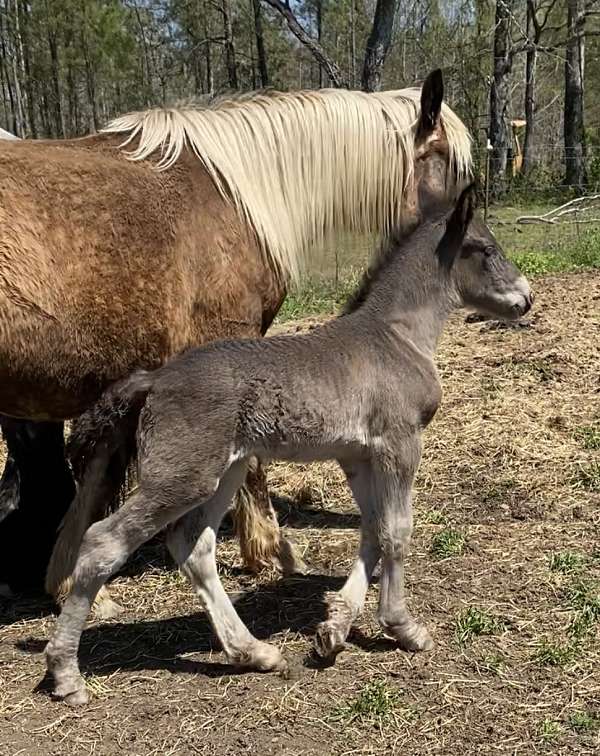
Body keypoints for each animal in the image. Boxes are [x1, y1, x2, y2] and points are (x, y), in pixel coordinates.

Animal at [48, 186, 536, 704]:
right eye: (486, 249)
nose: (526, 298)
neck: (396, 337)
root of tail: (155, 379)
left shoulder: (357, 455)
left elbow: (373, 528)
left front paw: (335, 629)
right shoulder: (399, 443)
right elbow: (397, 531)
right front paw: (403, 627)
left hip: (227, 471)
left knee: (193, 546)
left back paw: (254, 652)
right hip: (184, 476)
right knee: (104, 540)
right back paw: (66, 673)